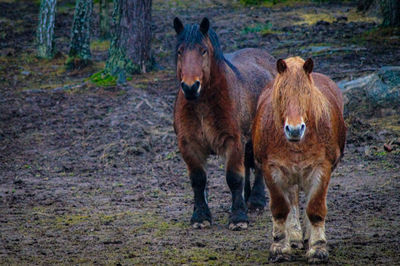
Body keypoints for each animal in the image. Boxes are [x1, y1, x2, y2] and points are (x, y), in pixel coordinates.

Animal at [173, 17, 276, 231]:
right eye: (180, 51)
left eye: (203, 50)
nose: (190, 87)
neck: (203, 104)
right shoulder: (188, 144)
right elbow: (198, 180)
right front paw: (200, 217)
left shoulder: (233, 141)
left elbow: (234, 178)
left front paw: (238, 218)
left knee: (258, 167)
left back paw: (256, 201)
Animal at [253, 57, 346, 262]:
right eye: (282, 93)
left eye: (307, 93)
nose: (294, 129)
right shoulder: (272, 169)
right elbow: (281, 208)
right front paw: (280, 248)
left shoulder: (321, 168)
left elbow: (315, 208)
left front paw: (318, 248)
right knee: (292, 201)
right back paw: (294, 236)